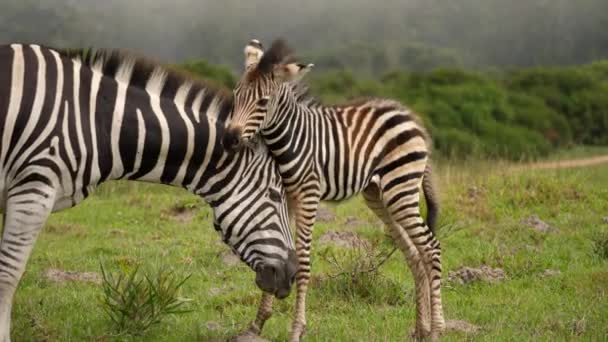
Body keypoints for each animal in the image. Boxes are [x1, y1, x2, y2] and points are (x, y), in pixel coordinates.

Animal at [226, 39, 444, 340]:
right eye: (236, 95)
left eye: (262, 102)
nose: (230, 139)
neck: (289, 139)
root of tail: (410, 116)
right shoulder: (287, 197)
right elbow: (279, 251)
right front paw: (257, 323)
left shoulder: (309, 195)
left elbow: (303, 262)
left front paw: (297, 330)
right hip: (380, 195)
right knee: (414, 252)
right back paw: (421, 329)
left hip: (401, 188)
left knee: (431, 249)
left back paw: (436, 330)